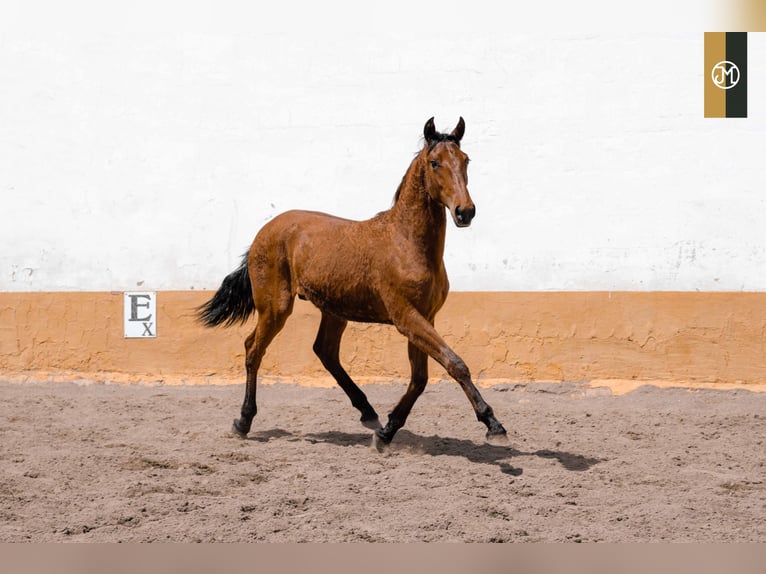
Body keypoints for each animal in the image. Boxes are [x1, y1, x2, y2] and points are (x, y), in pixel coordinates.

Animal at [196, 118, 510, 450]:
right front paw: (493, 424)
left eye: (465, 160)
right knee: (253, 349)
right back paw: (243, 421)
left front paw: (387, 432)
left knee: (325, 351)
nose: (465, 211)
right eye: (435, 162)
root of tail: (264, 231)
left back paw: (368, 413)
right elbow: (454, 363)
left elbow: (420, 379)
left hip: (334, 310)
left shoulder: (425, 317)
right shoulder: (406, 317)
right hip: (276, 307)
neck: (406, 242)